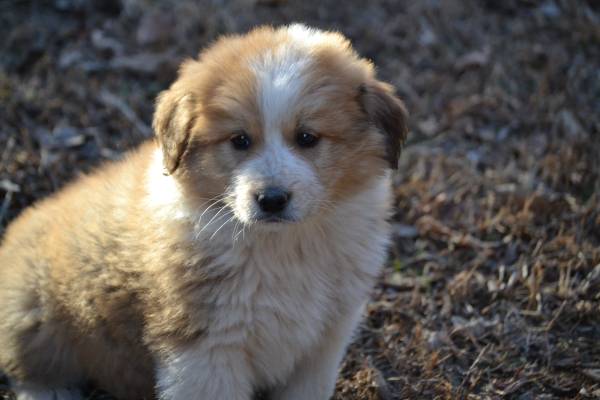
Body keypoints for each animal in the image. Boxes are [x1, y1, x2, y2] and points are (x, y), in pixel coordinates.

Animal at [0, 25, 408, 400]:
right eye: (240, 140)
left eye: (307, 138)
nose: (272, 199)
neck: (283, 246)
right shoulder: (205, 350)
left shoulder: (324, 341)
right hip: (33, 312)